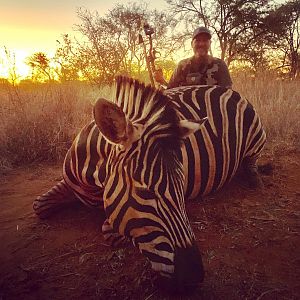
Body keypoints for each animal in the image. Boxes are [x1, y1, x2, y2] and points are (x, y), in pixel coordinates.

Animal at [34, 76, 266, 290]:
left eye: (182, 188)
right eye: (145, 193)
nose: (194, 277)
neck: (93, 181)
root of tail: (230, 91)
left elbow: (111, 230)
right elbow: (39, 206)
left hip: (256, 138)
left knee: (252, 162)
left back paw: (254, 178)